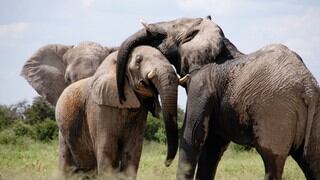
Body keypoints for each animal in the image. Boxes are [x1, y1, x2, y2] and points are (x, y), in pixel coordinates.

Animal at [55, 45, 180, 179]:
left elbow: (132, 153)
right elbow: (107, 151)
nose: (166, 163)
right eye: (138, 60)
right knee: (65, 161)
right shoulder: (99, 107)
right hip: (62, 130)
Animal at [178, 44, 320, 180]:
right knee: (311, 162)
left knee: (272, 162)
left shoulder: (202, 86)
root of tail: (307, 87)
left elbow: (193, 135)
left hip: (275, 111)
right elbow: (213, 145)